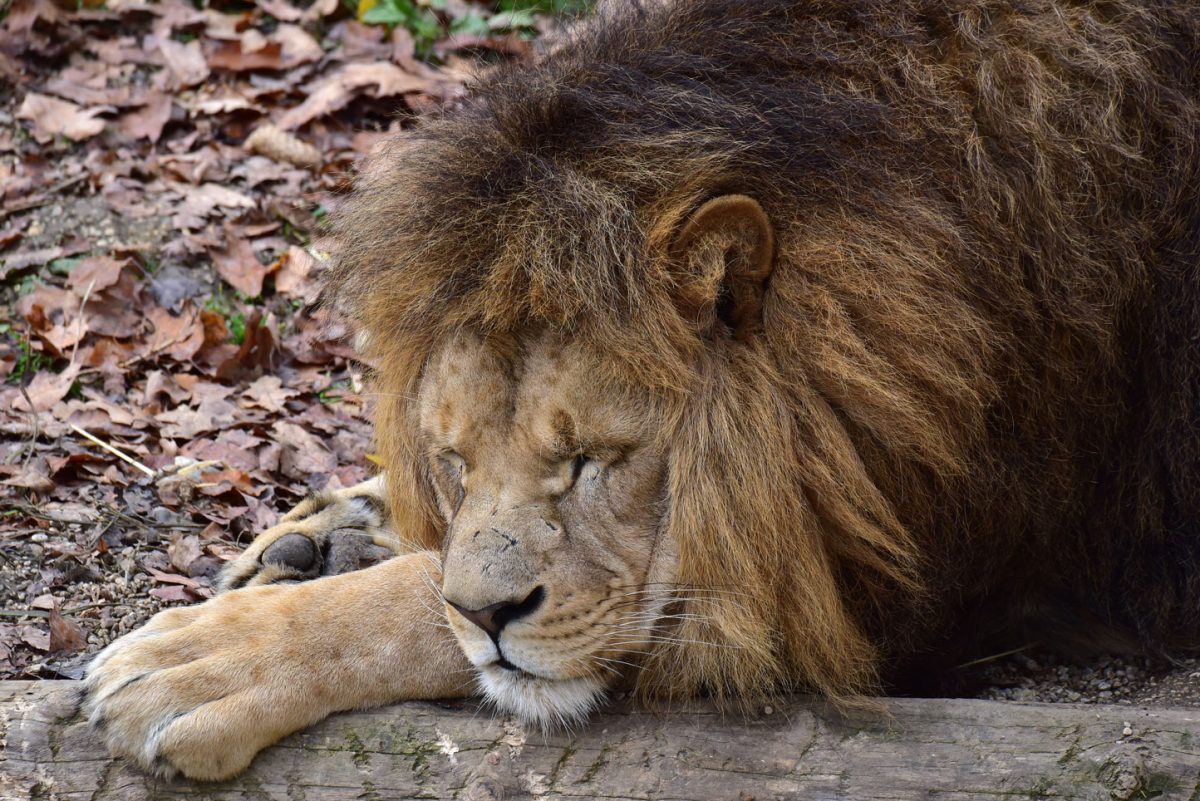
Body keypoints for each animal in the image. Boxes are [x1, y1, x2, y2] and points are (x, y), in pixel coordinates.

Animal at [82, 0, 1200, 781]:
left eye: (591, 461)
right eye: (453, 459)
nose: (493, 611)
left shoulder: (906, 571)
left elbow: (430, 613)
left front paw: (205, 659)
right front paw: (326, 539)